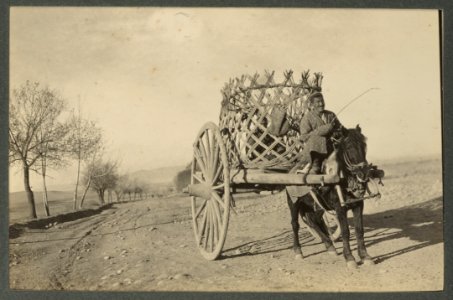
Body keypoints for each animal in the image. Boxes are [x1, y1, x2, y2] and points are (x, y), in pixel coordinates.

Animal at [286, 124, 382, 268]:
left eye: (364, 145)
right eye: (349, 147)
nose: (364, 173)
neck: (342, 178)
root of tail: (290, 171)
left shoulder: (358, 205)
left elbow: (359, 230)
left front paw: (365, 256)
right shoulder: (339, 208)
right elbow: (345, 231)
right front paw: (349, 258)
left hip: (316, 206)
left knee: (313, 221)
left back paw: (329, 246)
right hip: (293, 203)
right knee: (295, 224)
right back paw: (298, 251)